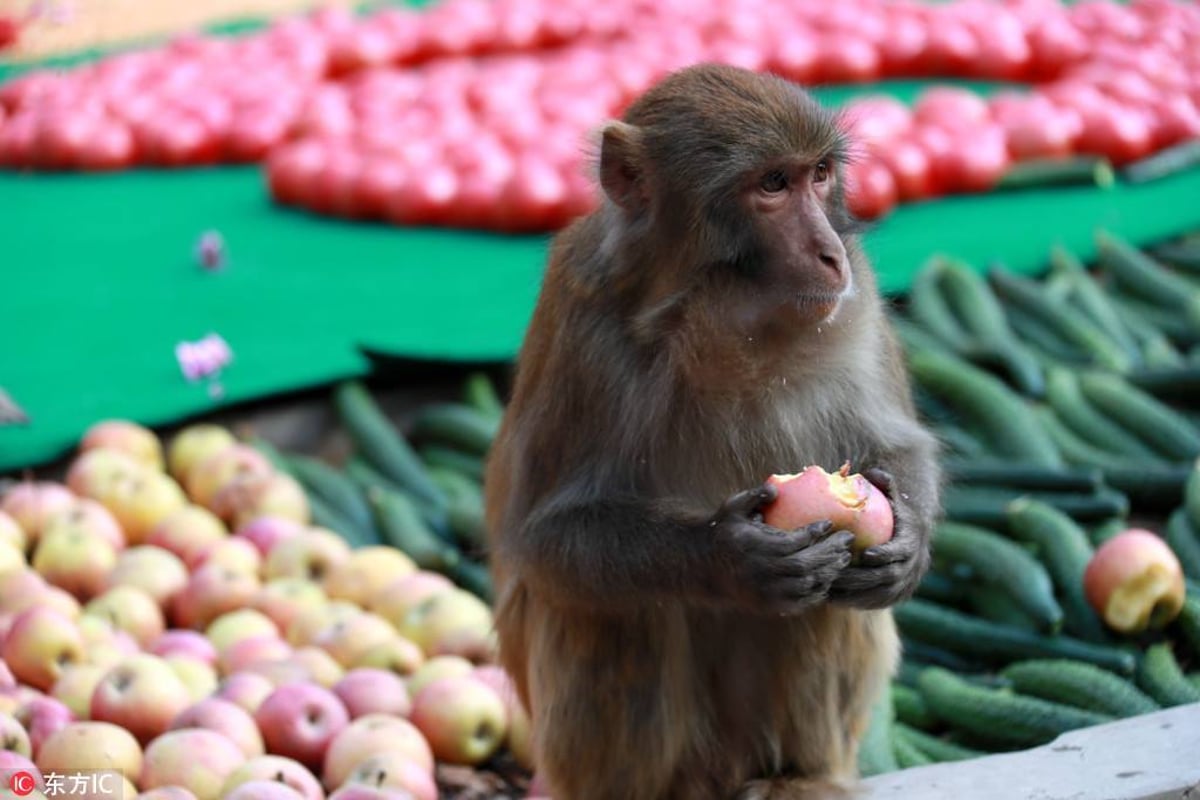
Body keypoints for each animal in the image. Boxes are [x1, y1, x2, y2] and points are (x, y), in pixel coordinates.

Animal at [482, 62, 940, 800]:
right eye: (772, 186)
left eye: (818, 174)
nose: (829, 253)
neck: (724, 314)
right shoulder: (583, 318)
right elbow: (542, 538)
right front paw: (728, 558)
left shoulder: (859, 298)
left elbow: (897, 446)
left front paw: (909, 547)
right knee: (610, 614)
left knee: (832, 594)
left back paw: (798, 777)